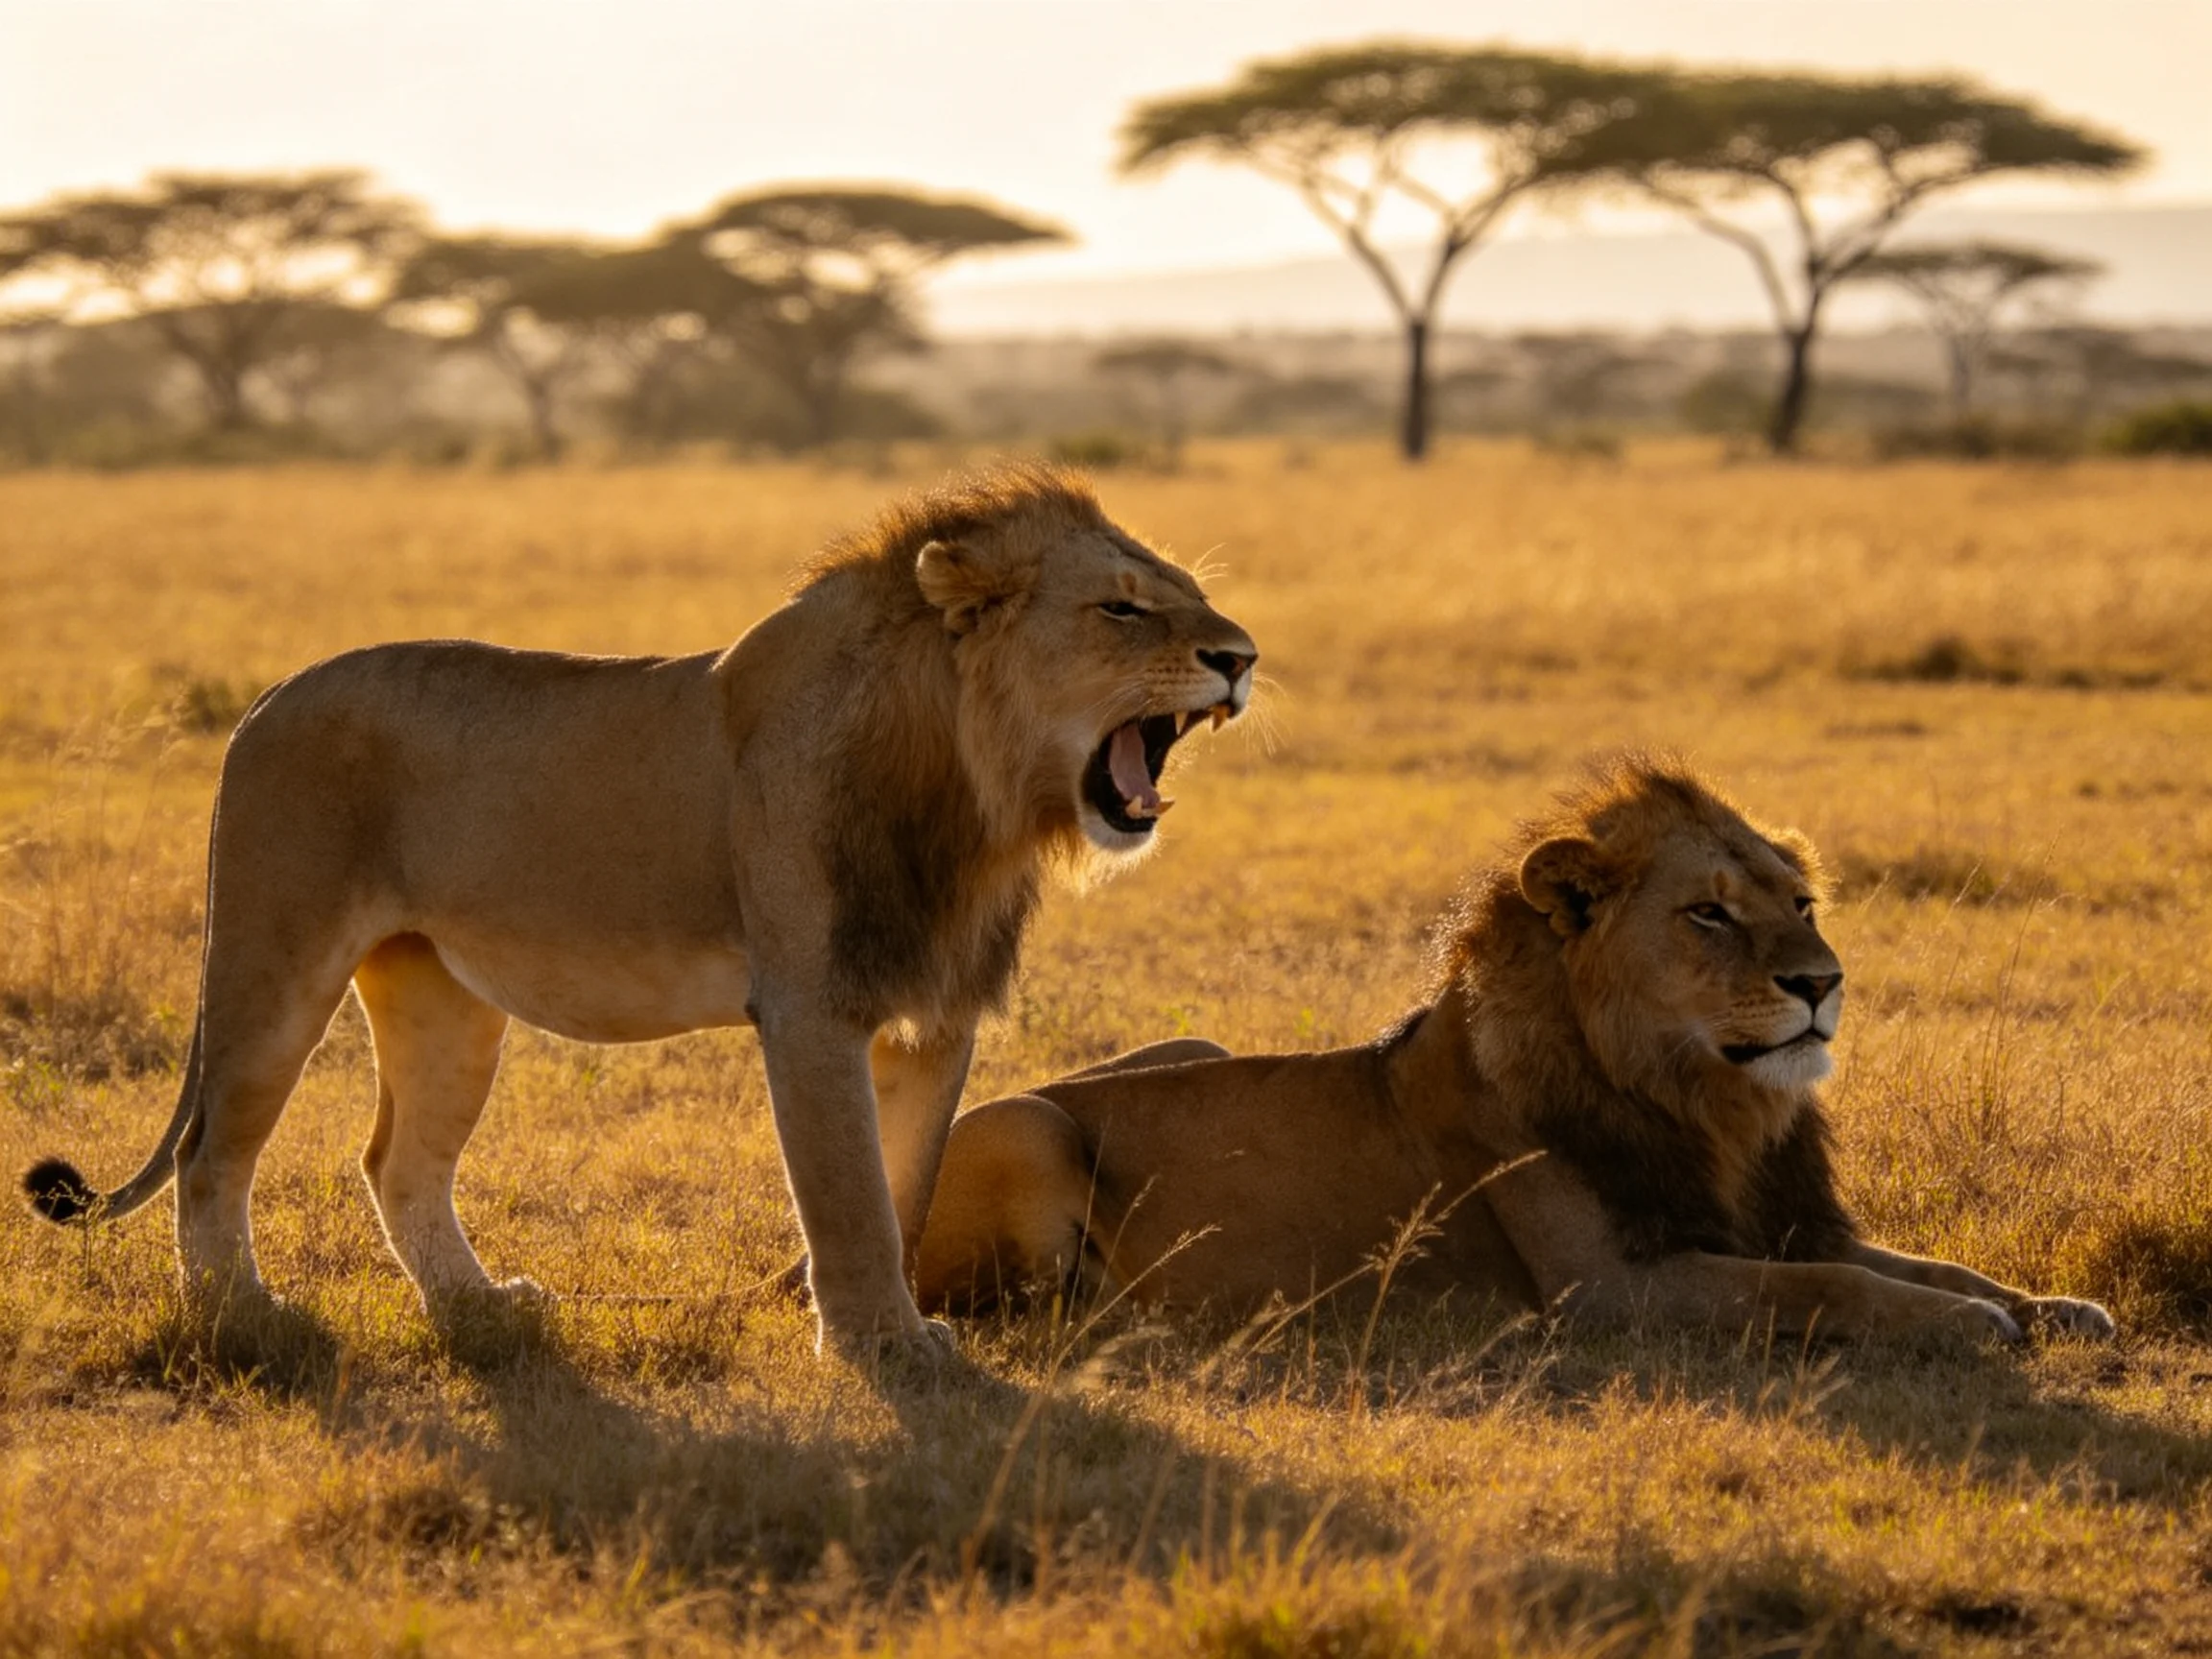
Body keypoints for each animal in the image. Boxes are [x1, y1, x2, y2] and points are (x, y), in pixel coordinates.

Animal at [23, 464, 1258, 1362]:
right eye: (1122, 609)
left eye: (1187, 594)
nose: (1241, 657)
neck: (975, 797)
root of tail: (265, 700)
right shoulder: (809, 1010)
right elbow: (850, 1196)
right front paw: (885, 1351)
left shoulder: (934, 1014)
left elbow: (908, 1183)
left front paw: (893, 1327)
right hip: (276, 961)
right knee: (211, 1153)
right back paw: (240, 1315)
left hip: (443, 999)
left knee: (397, 1163)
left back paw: (481, 1310)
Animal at [914, 758, 2114, 1347]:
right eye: (1710, 914)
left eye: (1803, 905)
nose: (1823, 983)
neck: (1706, 1106)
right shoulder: (1613, 1293)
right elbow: (1829, 1289)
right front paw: (1973, 1328)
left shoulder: (1770, 1219)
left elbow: (1919, 1262)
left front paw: (2048, 1308)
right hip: (1031, 1126)